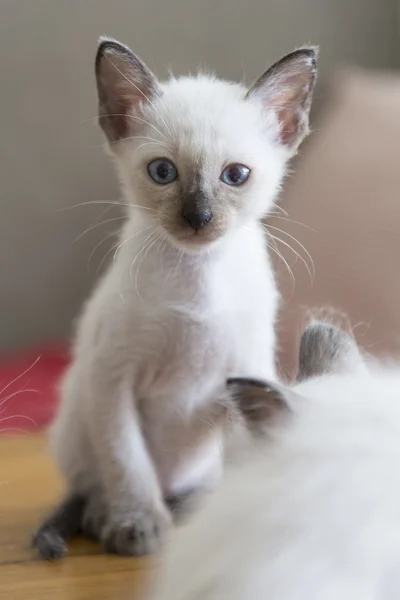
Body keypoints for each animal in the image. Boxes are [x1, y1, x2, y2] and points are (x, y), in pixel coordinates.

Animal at [32, 39, 318, 560]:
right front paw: (138, 527)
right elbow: (128, 464)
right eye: (163, 172)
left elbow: (247, 459)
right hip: (77, 419)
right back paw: (111, 520)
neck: (196, 277)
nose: (198, 217)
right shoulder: (113, 380)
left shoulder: (243, 377)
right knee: (90, 491)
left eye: (236, 175)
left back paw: (189, 509)